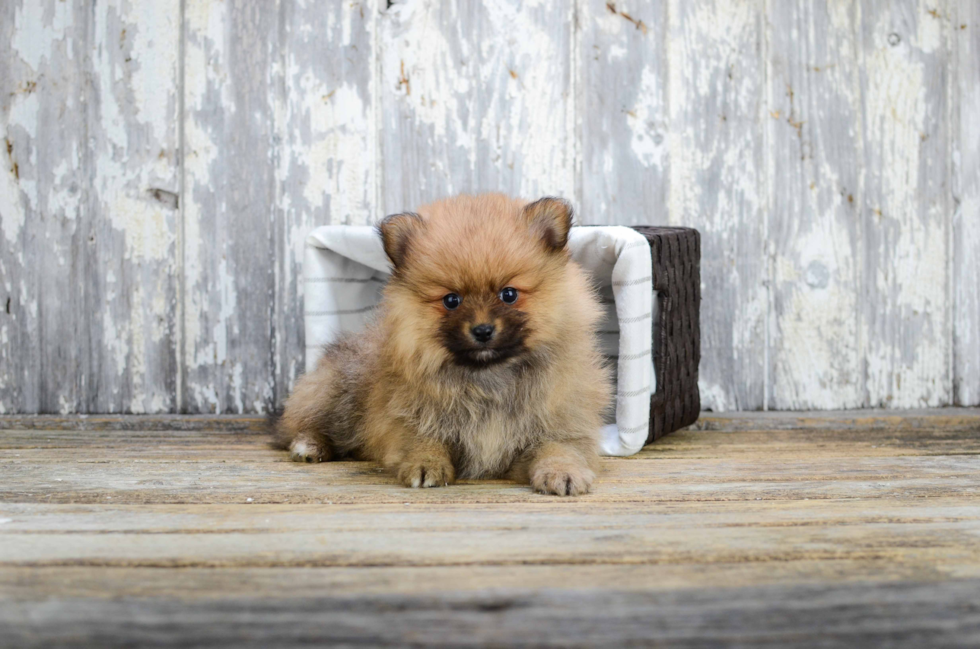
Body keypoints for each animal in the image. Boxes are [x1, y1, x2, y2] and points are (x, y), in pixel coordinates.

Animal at [276, 192, 608, 496]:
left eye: (509, 294)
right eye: (451, 300)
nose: (483, 330)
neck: (488, 377)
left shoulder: (561, 422)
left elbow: (559, 447)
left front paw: (562, 472)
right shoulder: (408, 417)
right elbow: (423, 439)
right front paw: (425, 464)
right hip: (341, 393)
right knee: (301, 423)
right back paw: (309, 445)